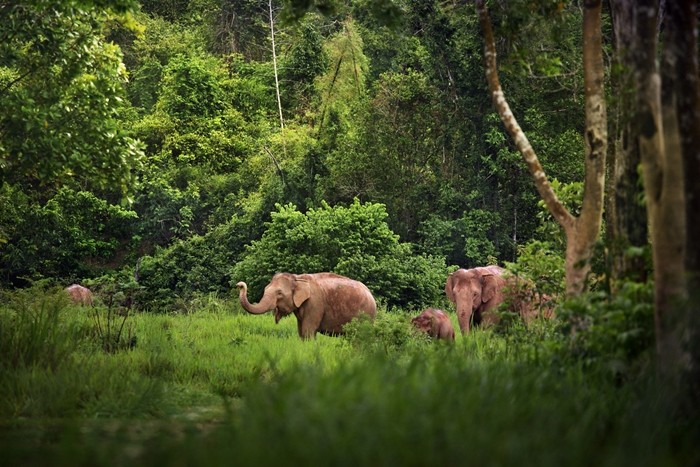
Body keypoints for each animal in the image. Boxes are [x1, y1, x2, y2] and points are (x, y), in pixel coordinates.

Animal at [237, 272, 378, 338]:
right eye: (266, 289)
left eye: (279, 293)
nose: (239, 284)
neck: (298, 278)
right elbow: (301, 332)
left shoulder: (315, 303)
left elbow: (308, 331)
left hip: (366, 314)